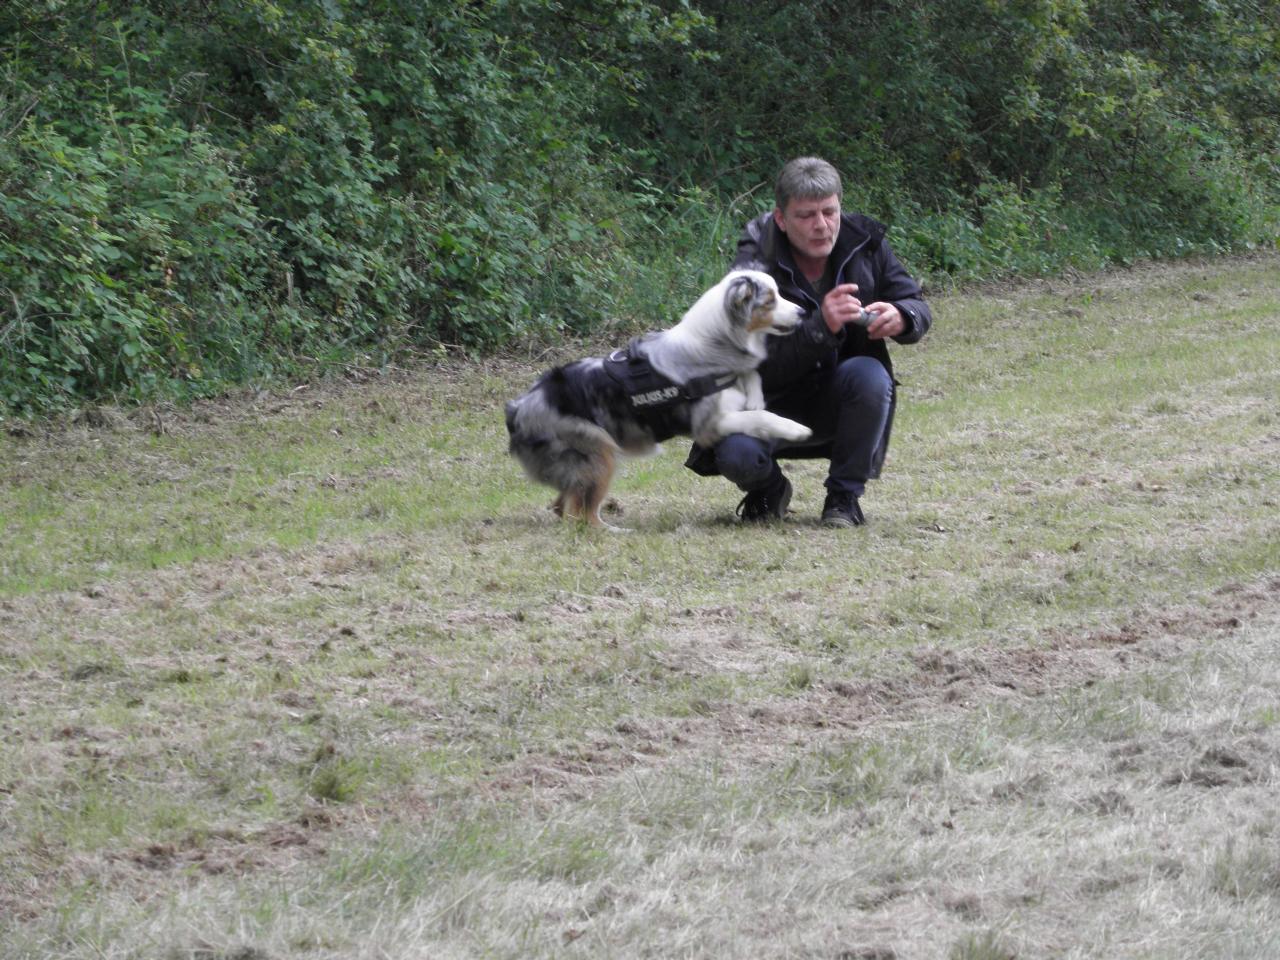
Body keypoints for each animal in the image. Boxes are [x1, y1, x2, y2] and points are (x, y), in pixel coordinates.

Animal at [506, 267, 814, 529]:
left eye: (780, 293)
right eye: (770, 300)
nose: (803, 312)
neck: (716, 344)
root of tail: (518, 408)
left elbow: (754, 383)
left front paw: (755, 393)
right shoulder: (709, 426)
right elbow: (762, 414)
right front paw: (796, 428)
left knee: (563, 506)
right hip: (598, 451)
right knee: (578, 516)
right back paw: (612, 531)